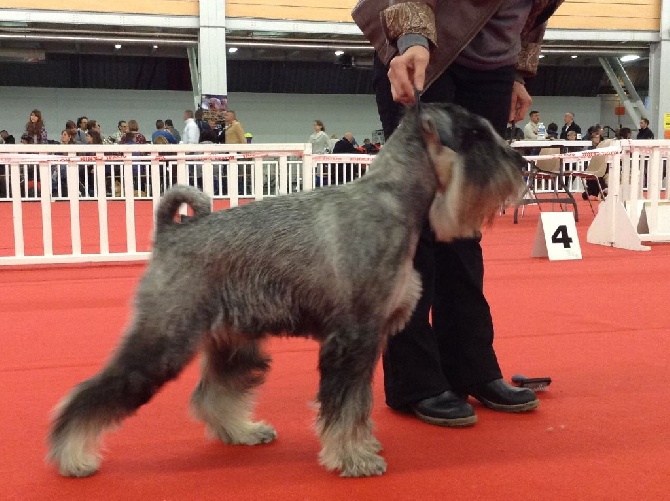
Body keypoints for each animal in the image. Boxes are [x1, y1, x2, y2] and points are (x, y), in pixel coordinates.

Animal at [48, 102, 532, 476]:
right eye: (475, 133)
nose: (521, 164)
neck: (393, 201)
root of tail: (170, 234)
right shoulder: (352, 338)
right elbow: (343, 406)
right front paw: (353, 458)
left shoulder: (366, 342)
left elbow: (358, 404)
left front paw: (360, 447)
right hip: (163, 340)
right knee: (95, 391)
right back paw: (72, 456)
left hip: (233, 340)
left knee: (212, 393)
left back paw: (243, 431)